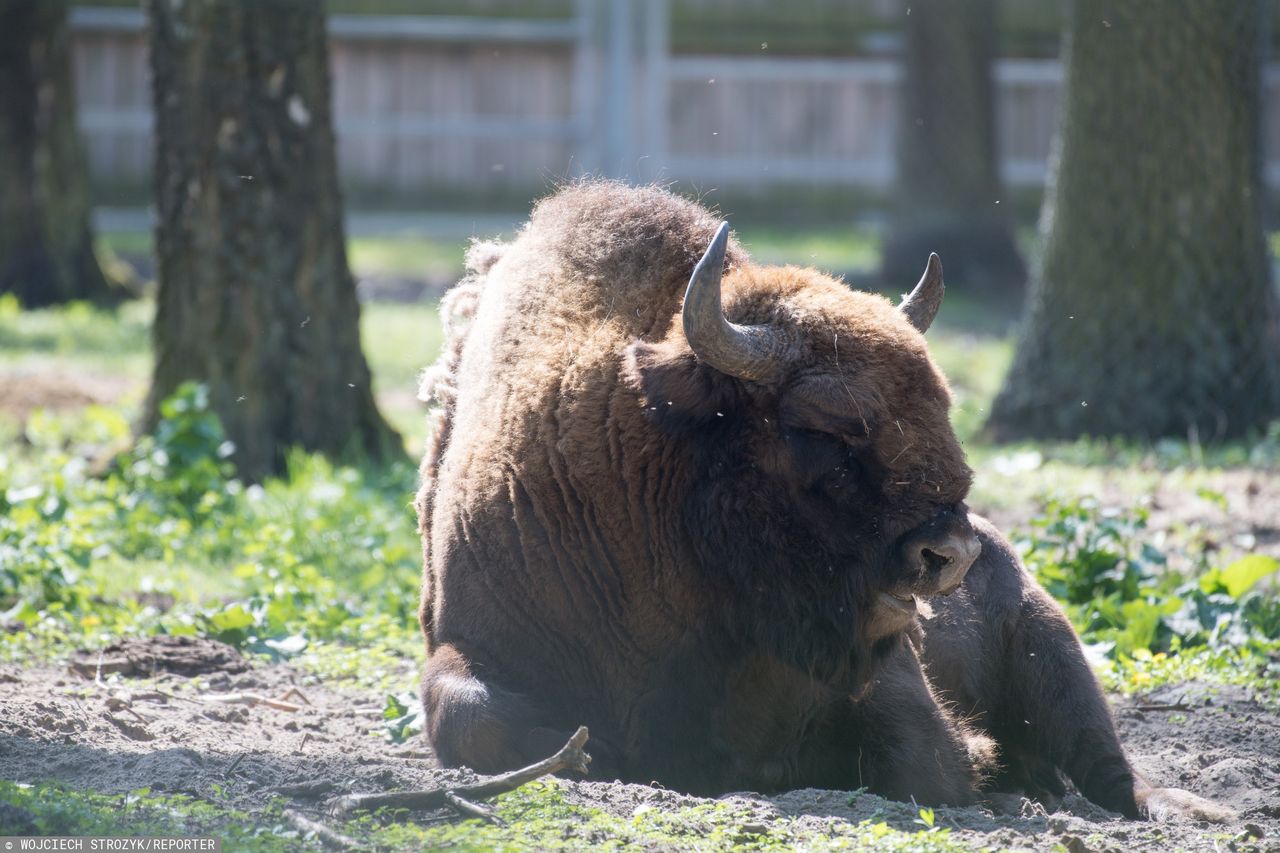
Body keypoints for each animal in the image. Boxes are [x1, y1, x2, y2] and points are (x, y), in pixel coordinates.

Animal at [417, 180, 1228, 819]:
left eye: (943, 404)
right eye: (822, 426)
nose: (951, 552)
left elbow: (924, 762)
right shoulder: (469, 640)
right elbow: (471, 718)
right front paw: (590, 756)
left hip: (1051, 646)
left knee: (1109, 764)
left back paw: (1183, 807)